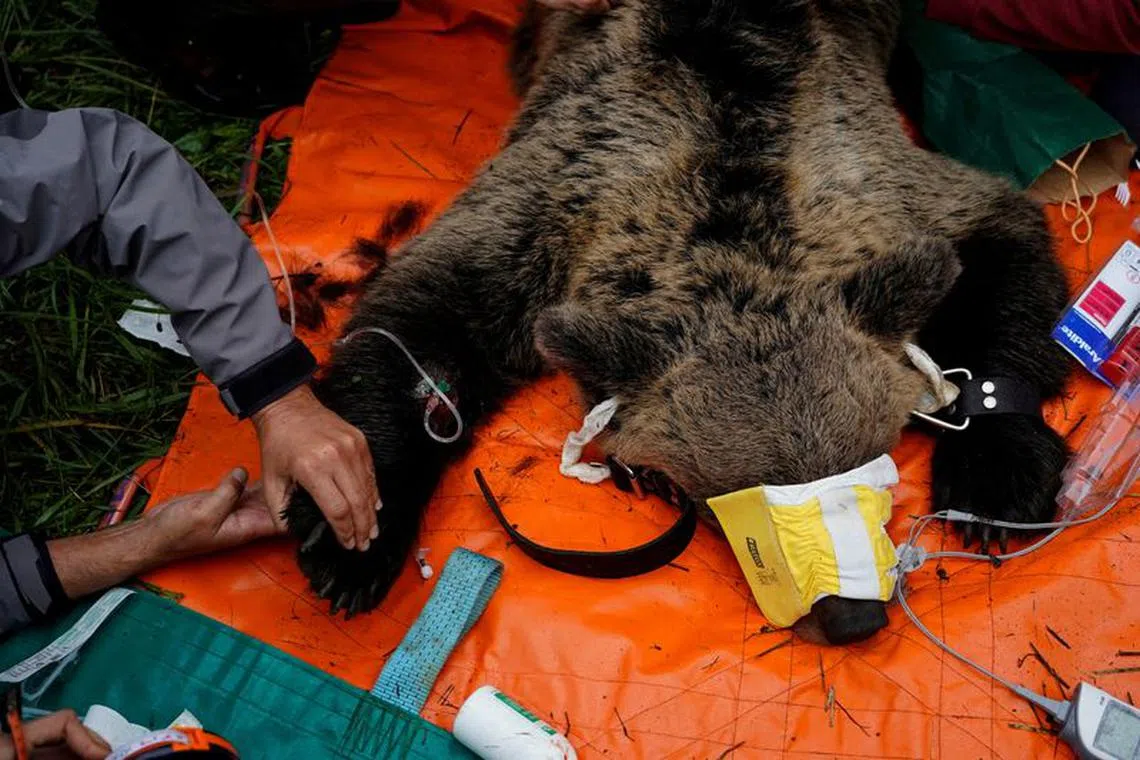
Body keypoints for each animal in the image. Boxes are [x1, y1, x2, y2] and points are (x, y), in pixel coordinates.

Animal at [284, 0, 1072, 645]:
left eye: (875, 469)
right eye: (733, 500)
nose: (852, 620)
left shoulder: (883, 185)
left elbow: (999, 239)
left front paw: (995, 480)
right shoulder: (550, 204)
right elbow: (426, 321)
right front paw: (352, 536)